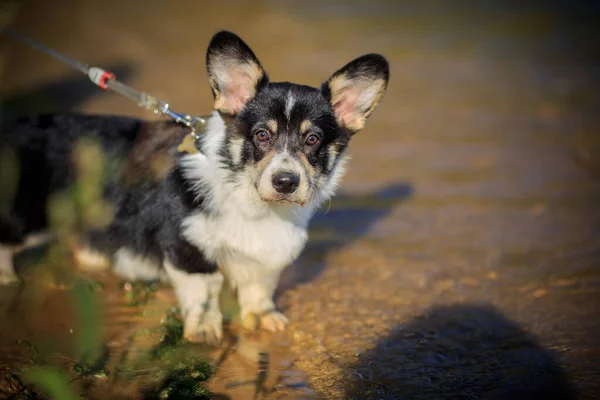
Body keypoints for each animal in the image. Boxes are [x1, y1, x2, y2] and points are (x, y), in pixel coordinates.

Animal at [1, 32, 390, 344]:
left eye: (312, 140)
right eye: (262, 135)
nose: (285, 181)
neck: (251, 200)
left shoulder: (264, 256)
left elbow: (258, 288)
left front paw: (264, 316)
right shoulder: (188, 248)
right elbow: (205, 291)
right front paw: (203, 330)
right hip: (26, 215)